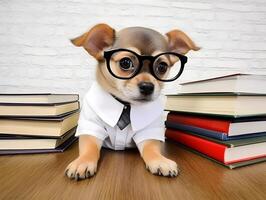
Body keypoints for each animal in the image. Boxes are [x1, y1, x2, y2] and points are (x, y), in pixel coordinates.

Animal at [65, 23, 198, 180]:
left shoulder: (148, 133)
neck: (126, 105)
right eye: (125, 63)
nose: (147, 86)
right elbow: (89, 147)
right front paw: (83, 161)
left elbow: (151, 148)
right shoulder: (91, 127)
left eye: (162, 67)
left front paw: (160, 160)